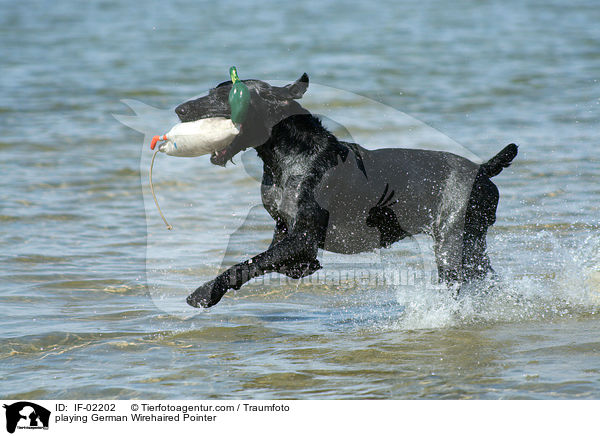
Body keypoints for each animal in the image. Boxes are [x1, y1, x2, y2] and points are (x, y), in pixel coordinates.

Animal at [176, 73, 516, 308]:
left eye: (222, 96)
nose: (179, 109)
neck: (287, 157)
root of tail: (482, 169)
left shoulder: (301, 239)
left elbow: (245, 264)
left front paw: (205, 292)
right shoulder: (285, 232)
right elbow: (267, 261)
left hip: (452, 242)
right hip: (472, 245)